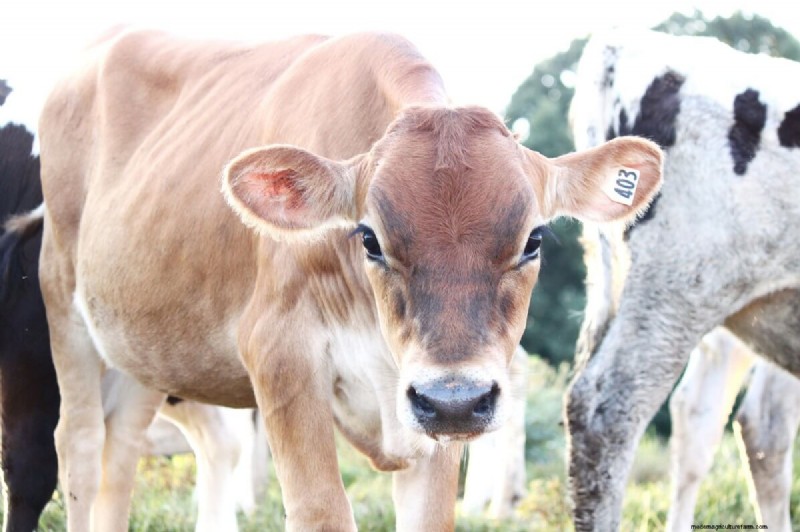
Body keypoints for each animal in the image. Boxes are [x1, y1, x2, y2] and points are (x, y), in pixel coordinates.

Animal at [37, 28, 662, 531]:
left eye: (533, 240)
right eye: (369, 238)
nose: (454, 401)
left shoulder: (436, 405)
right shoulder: (280, 353)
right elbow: (321, 511)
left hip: (139, 349)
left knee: (120, 455)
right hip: (62, 304)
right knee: (80, 447)